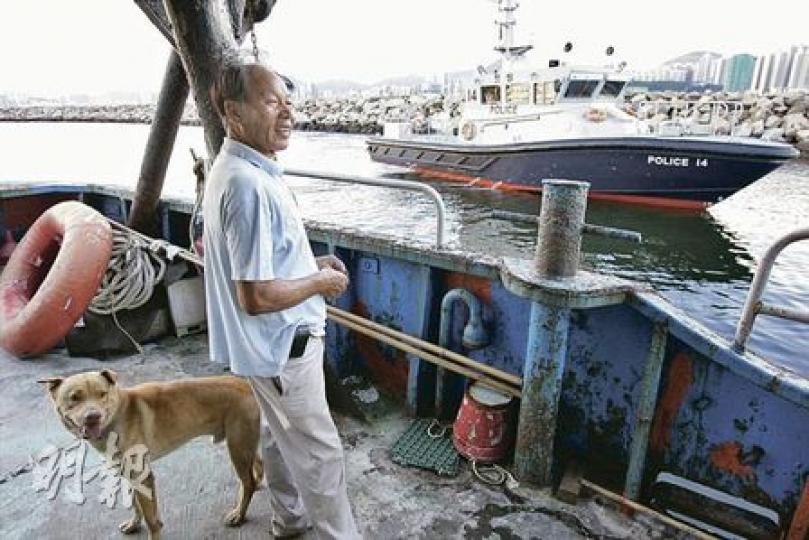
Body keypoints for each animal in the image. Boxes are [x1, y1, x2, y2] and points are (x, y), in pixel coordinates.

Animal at [39, 372, 260, 540]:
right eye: (74, 398)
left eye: (102, 394)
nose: (93, 417)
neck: (118, 416)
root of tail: (247, 385)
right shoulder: (128, 472)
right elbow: (135, 504)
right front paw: (133, 524)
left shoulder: (143, 477)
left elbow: (151, 519)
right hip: (246, 445)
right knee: (256, 473)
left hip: (238, 448)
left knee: (248, 482)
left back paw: (239, 514)